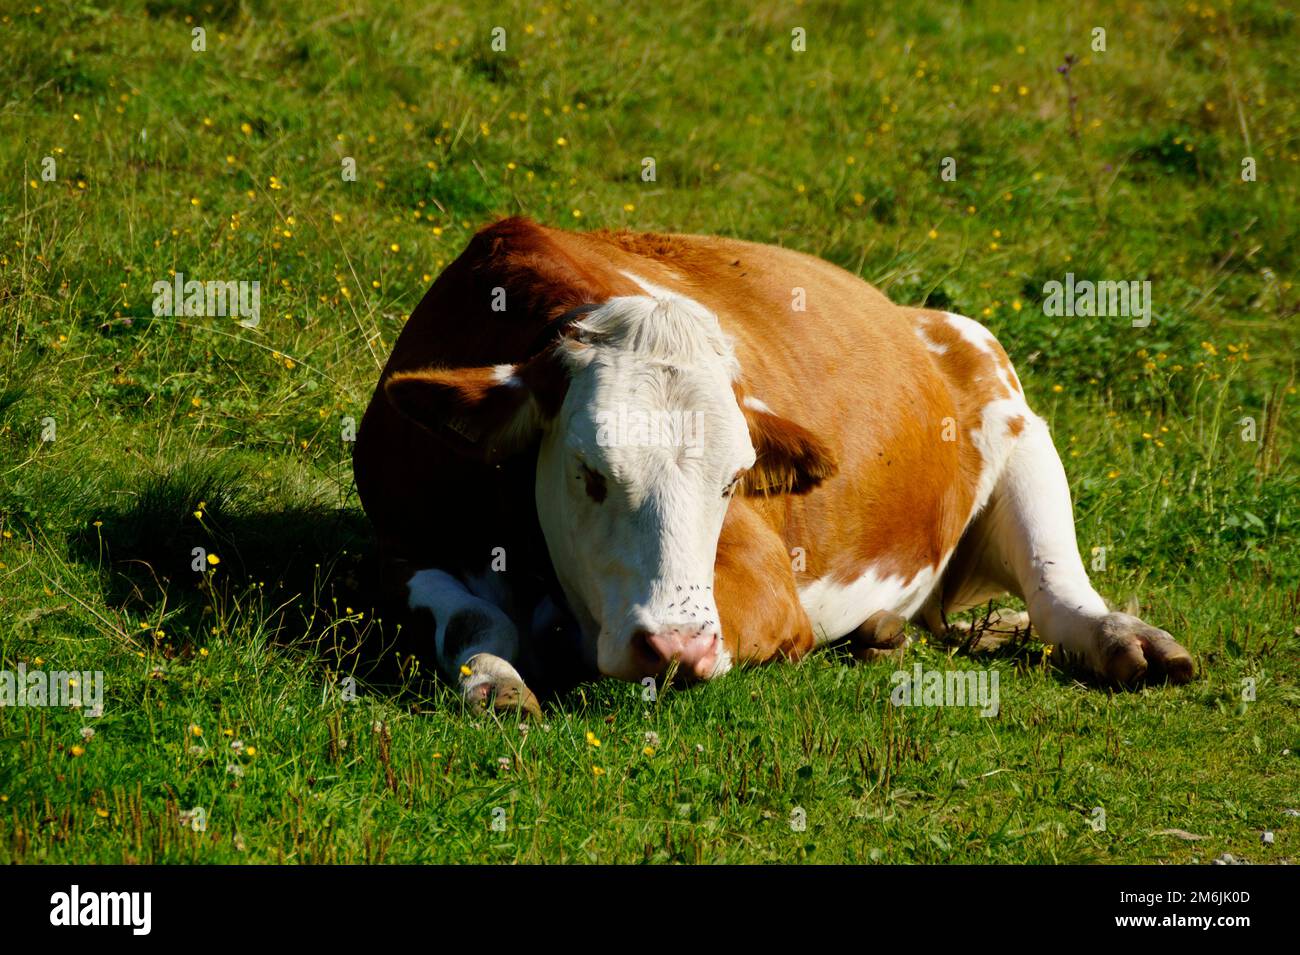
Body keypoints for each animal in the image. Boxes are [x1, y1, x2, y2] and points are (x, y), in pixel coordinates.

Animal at [351, 214, 1190, 712]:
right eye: (590, 474)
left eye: (732, 480)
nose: (676, 647)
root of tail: (920, 313)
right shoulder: (395, 544)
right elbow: (471, 616)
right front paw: (496, 680)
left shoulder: (762, 591)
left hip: (1020, 429)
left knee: (1057, 591)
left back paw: (1128, 639)